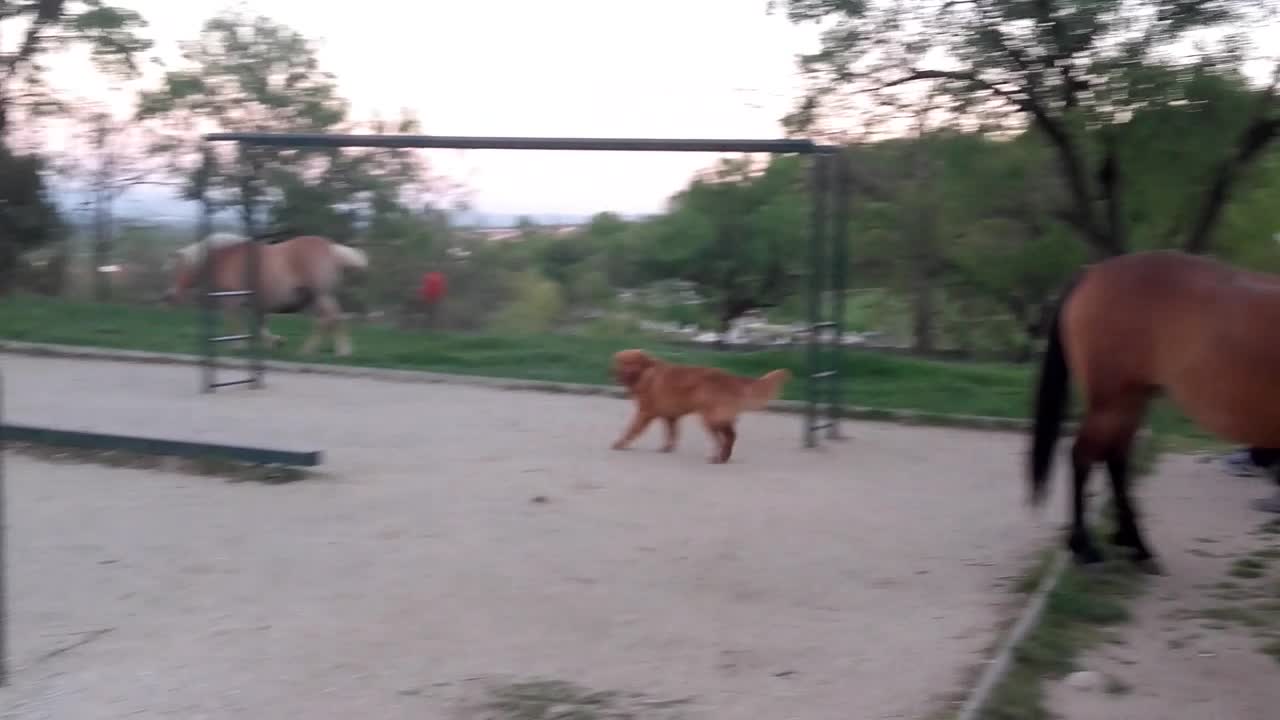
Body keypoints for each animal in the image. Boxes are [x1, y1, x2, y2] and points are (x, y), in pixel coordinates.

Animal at [162, 230, 368, 353]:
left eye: (179, 268)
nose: (169, 296)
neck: (227, 258)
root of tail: (331, 248)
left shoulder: (232, 300)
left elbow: (235, 322)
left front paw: (237, 346)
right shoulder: (254, 303)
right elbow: (259, 324)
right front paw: (275, 342)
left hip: (321, 295)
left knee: (329, 319)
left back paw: (326, 350)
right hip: (314, 298)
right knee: (328, 320)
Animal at [606, 345, 788, 458]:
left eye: (630, 363)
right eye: (621, 362)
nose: (617, 373)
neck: (645, 373)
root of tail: (730, 377)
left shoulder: (645, 412)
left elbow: (631, 430)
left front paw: (620, 443)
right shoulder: (670, 416)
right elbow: (671, 434)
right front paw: (667, 448)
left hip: (710, 417)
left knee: (724, 438)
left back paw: (718, 458)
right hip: (717, 418)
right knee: (731, 436)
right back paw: (723, 457)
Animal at [1029, 249, 1280, 573]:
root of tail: (1092, 272)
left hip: (1130, 401)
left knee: (1115, 459)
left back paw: (1134, 544)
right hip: (1112, 402)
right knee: (1083, 456)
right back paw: (1086, 547)